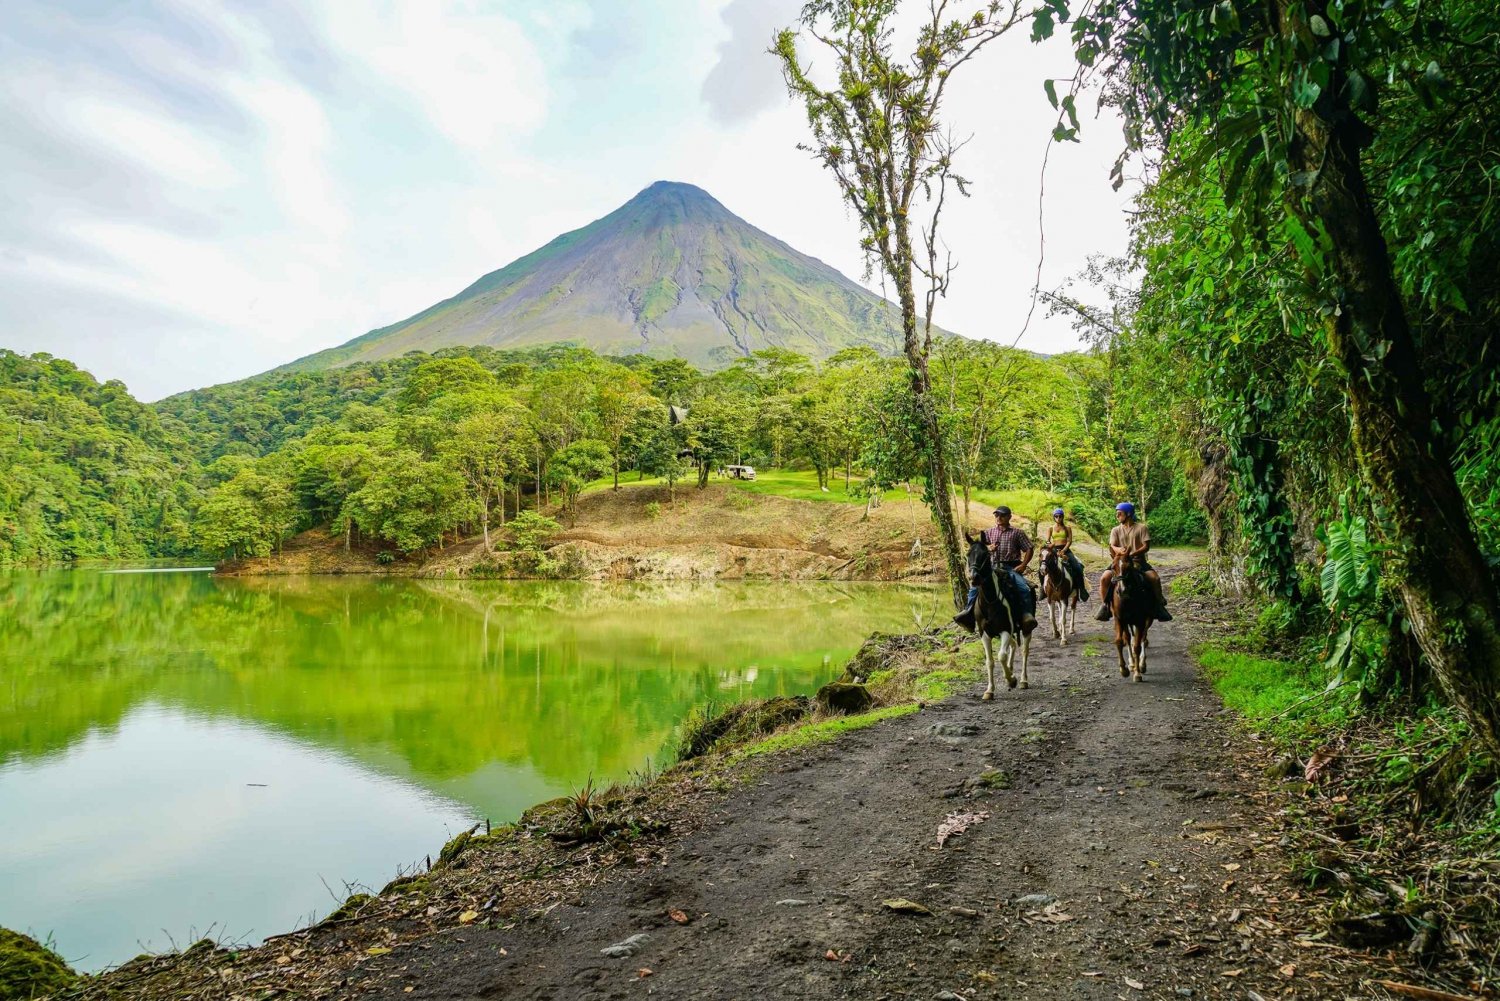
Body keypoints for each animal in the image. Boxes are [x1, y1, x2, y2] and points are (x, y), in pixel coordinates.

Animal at [966, 531, 1026, 696]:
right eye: (968, 554)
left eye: (985, 554)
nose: (974, 578)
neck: (990, 601)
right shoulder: (984, 633)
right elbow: (990, 661)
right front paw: (989, 690)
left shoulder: (1005, 629)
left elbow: (1001, 656)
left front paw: (1011, 680)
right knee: (1013, 645)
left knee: (1024, 651)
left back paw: (1023, 680)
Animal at [1110, 549, 1152, 681]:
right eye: (1113, 567)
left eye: (1129, 567)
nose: (1122, 590)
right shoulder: (1119, 619)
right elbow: (1120, 641)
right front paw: (1124, 669)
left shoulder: (1140, 621)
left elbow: (1138, 646)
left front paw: (1137, 673)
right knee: (1129, 638)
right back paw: (1132, 663)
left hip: (1147, 620)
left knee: (1143, 638)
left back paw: (1142, 664)